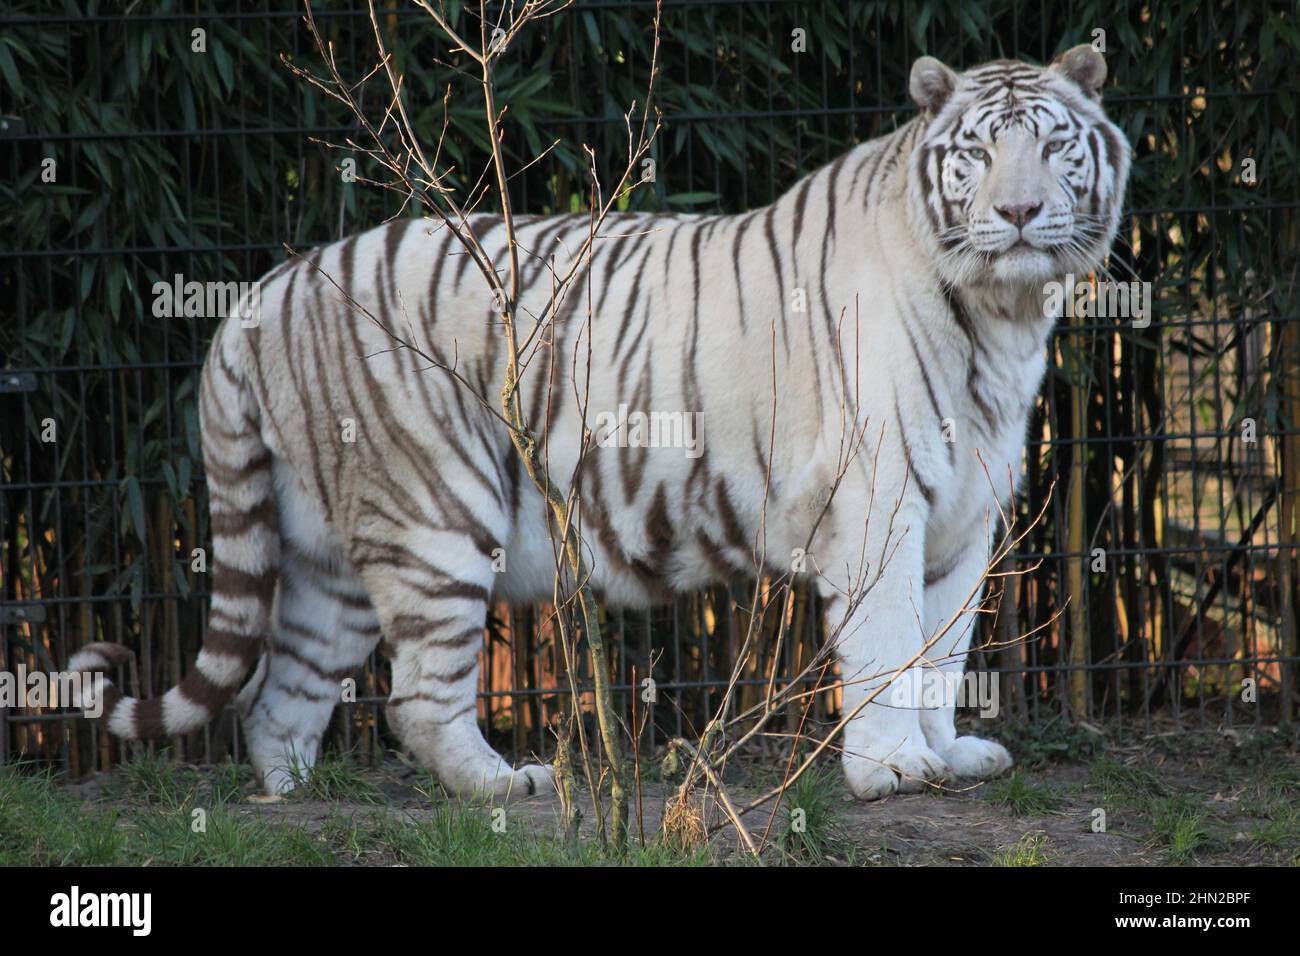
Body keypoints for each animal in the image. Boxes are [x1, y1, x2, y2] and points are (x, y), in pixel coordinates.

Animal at [73, 48, 1128, 806]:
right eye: (978, 152)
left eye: (1054, 146)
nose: (1020, 212)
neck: (1002, 314)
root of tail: (261, 295)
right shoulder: (876, 501)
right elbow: (887, 641)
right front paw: (891, 771)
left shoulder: (964, 513)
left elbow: (942, 652)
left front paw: (948, 754)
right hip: (435, 511)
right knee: (415, 698)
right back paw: (506, 786)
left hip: (325, 548)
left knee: (277, 696)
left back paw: (290, 800)